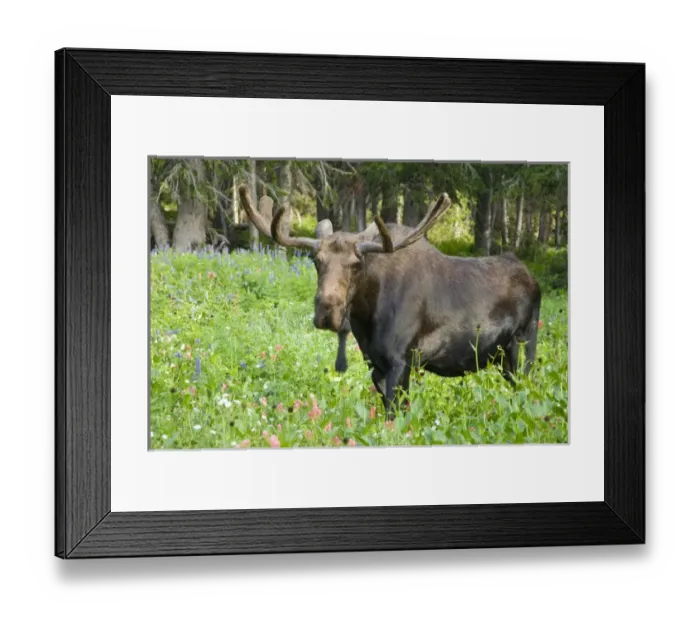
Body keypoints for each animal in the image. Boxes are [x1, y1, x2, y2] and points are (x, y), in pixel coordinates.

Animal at [238, 185, 542, 419]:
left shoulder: (402, 360)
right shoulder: (375, 363)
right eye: (316, 260)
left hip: (523, 345)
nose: (327, 310)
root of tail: (534, 280)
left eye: (356, 264)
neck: (366, 316)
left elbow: (396, 416)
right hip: (501, 357)